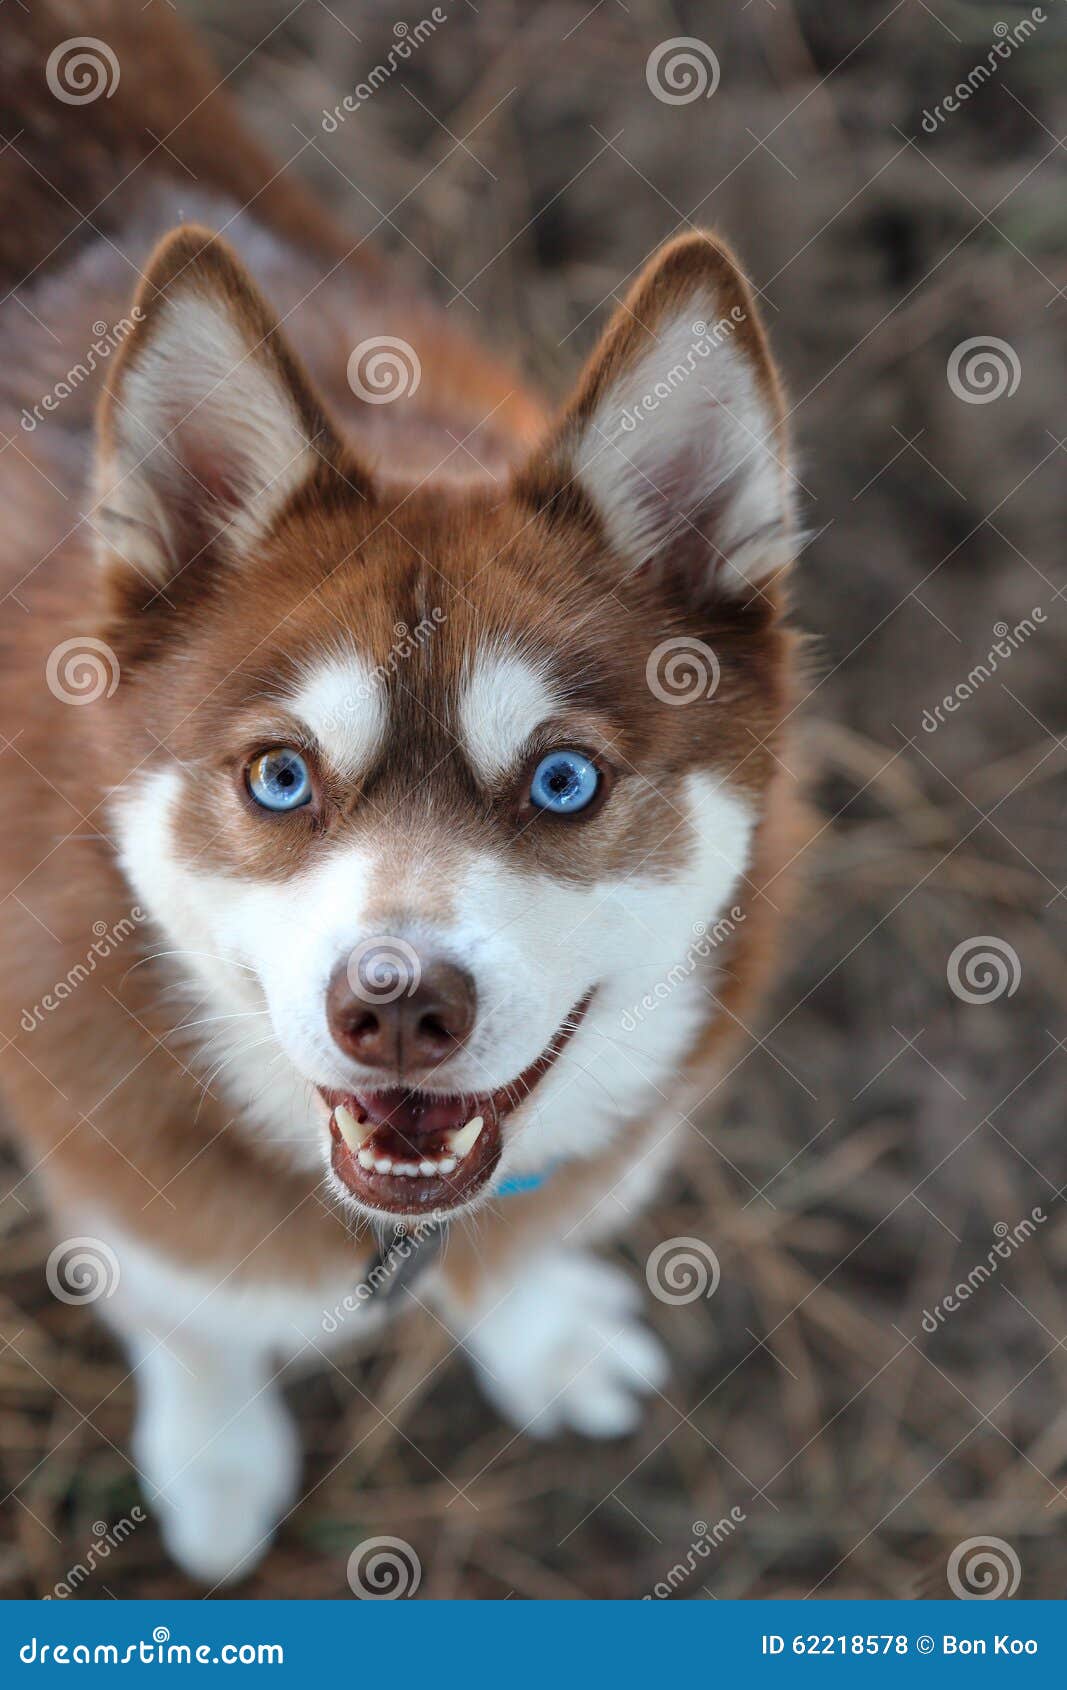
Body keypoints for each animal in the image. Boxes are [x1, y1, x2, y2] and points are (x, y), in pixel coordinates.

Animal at [0, 3, 801, 1581]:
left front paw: (538, 1334)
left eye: (561, 778)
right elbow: (186, 1314)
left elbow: (528, 1231)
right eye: (280, 774)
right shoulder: (116, 1161)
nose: (397, 1003)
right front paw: (216, 1454)